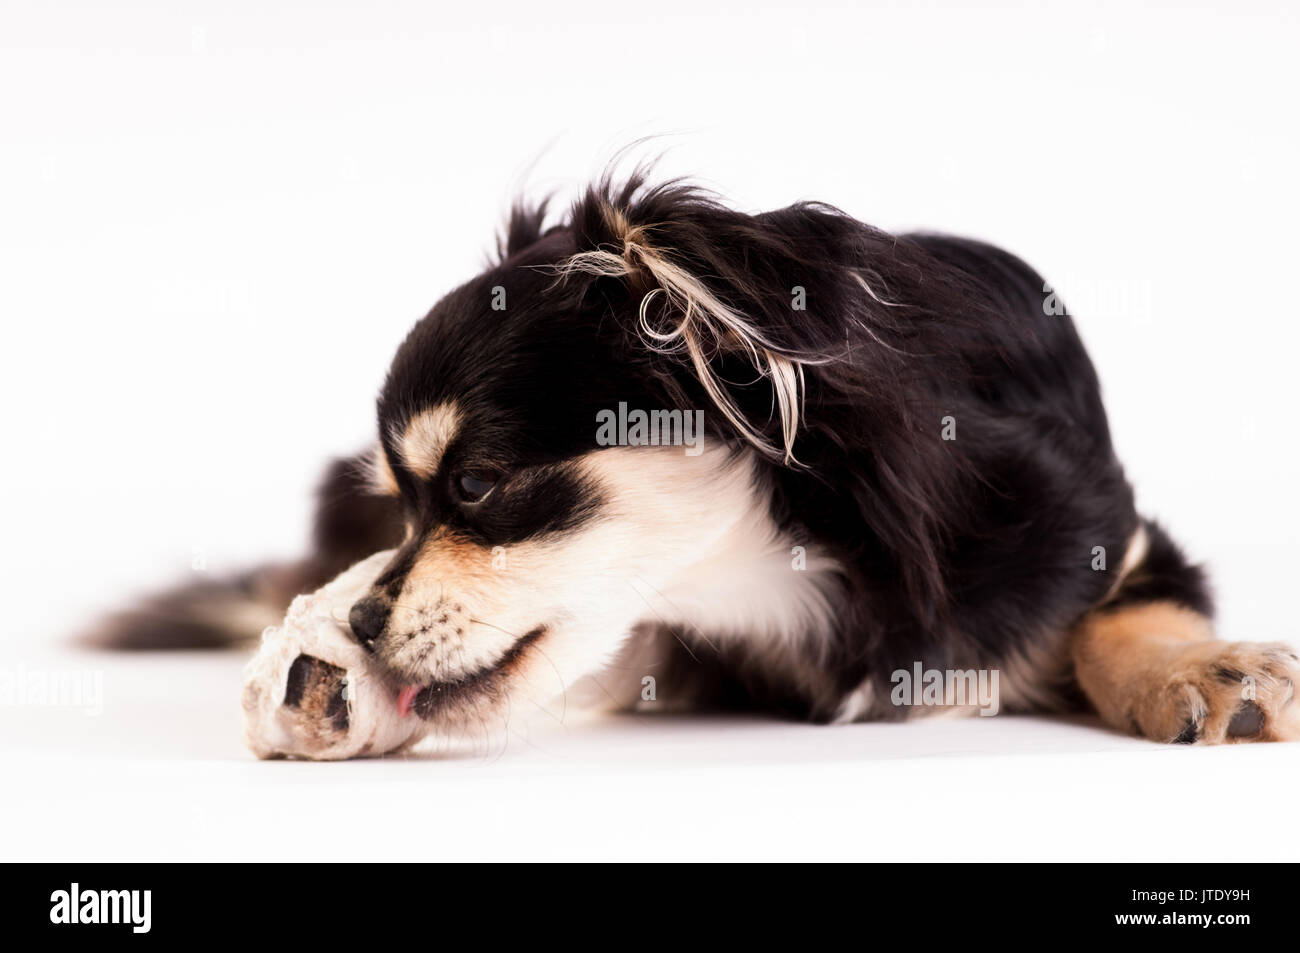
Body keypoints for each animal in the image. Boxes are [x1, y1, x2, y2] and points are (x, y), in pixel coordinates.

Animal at [101, 174, 1300, 748]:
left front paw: (1204, 668)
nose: (357, 617)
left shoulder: (1103, 529)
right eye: (401, 507)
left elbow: (1124, 609)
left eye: (475, 485)